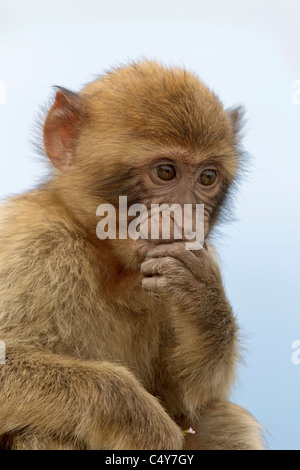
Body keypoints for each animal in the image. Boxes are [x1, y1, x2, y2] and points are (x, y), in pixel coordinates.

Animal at [0, 60, 264, 450]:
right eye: (166, 171)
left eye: (207, 178)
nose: (185, 218)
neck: (107, 257)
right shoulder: (37, 251)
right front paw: (138, 417)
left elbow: (182, 397)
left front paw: (202, 296)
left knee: (222, 418)